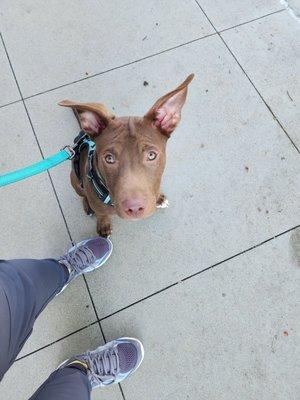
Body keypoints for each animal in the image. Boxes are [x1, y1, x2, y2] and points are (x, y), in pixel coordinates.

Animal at [59, 73, 195, 236]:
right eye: (109, 158)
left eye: (151, 155)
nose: (134, 208)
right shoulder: (99, 206)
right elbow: (102, 214)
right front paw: (103, 225)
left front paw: (159, 198)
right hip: (74, 180)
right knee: (83, 193)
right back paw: (87, 205)